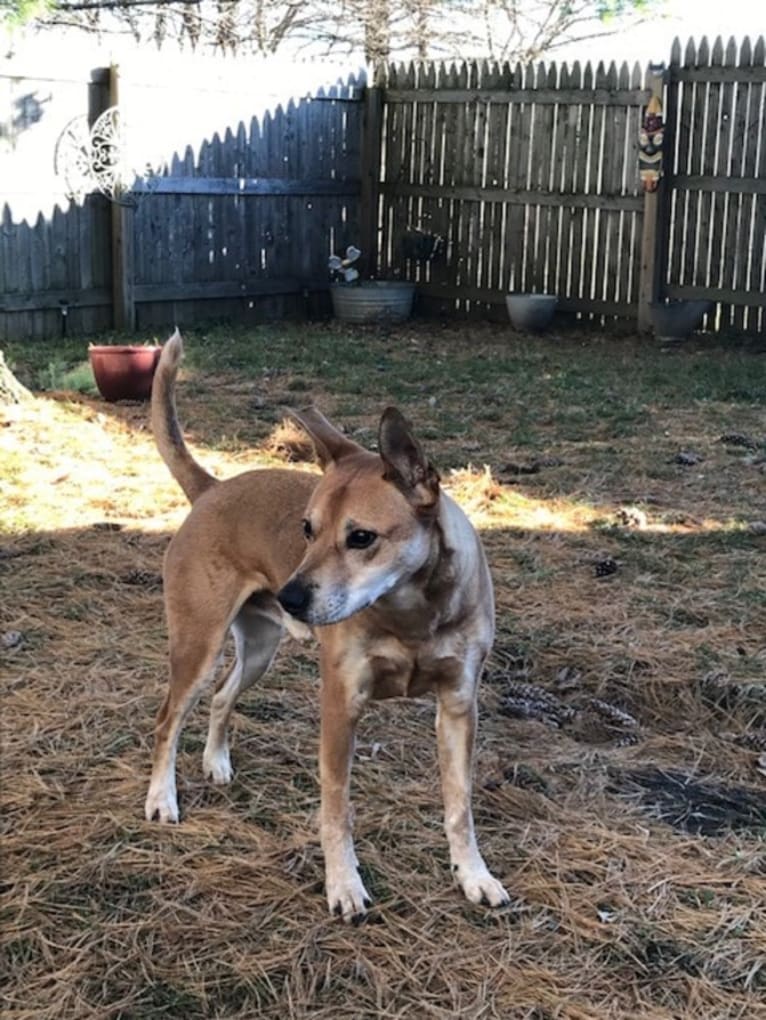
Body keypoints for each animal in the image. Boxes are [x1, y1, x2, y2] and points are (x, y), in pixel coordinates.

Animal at [143, 330, 509, 922]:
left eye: (361, 537)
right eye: (306, 529)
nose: (289, 597)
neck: (412, 612)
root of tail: (213, 488)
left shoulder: (458, 707)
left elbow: (460, 805)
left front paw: (473, 875)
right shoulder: (342, 705)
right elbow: (337, 808)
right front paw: (344, 884)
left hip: (259, 650)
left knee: (222, 696)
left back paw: (216, 762)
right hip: (197, 646)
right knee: (167, 720)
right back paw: (161, 798)